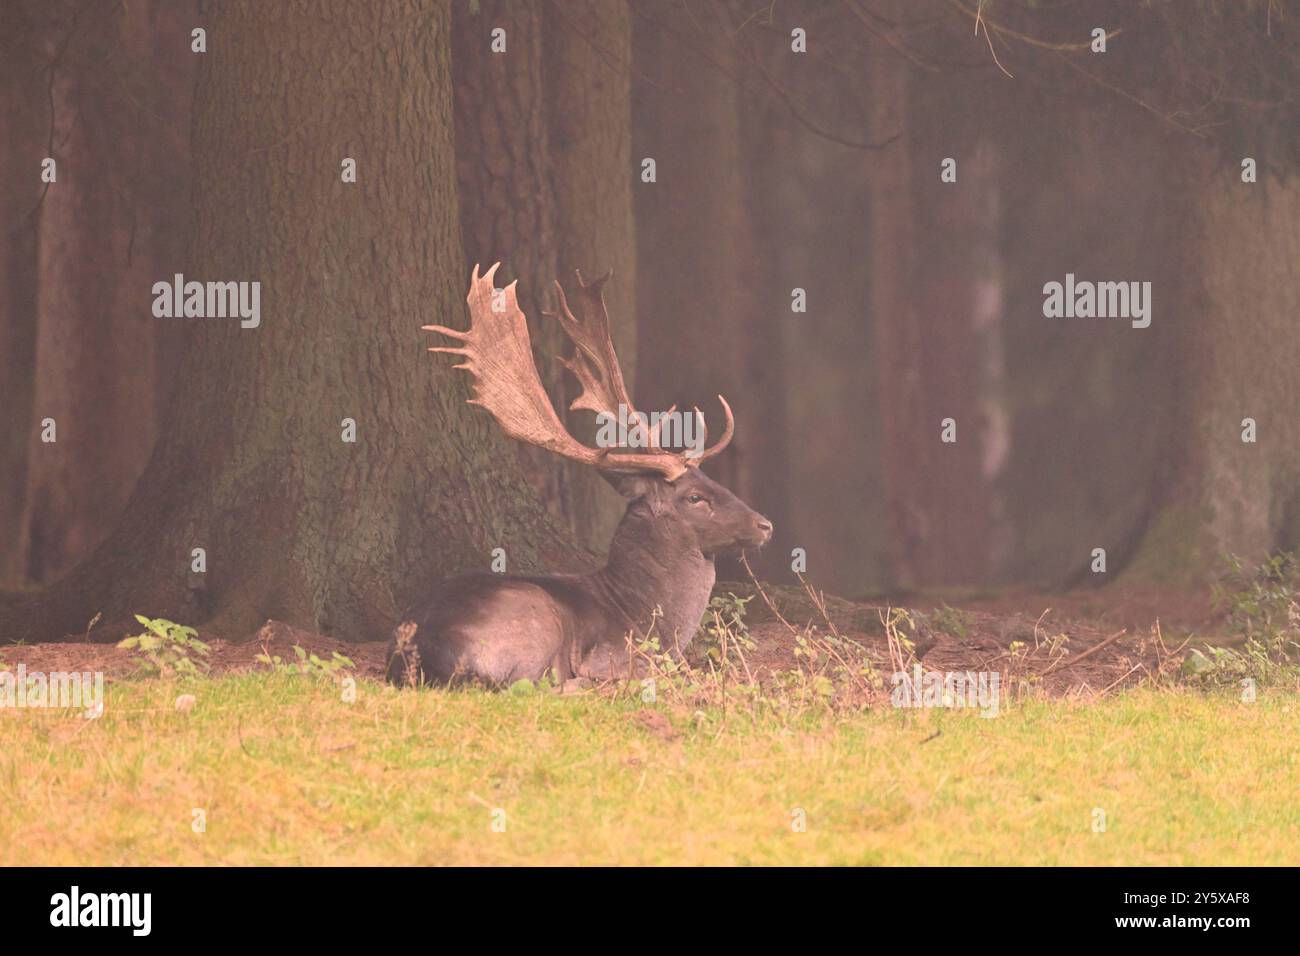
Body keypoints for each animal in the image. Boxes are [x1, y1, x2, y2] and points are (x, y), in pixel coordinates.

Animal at [386, 263, 772, 687]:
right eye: (694, 497)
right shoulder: (614, 655)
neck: (644, 618)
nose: (765, 524)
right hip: (534, 620)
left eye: (711, 482)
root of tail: (426, 654)